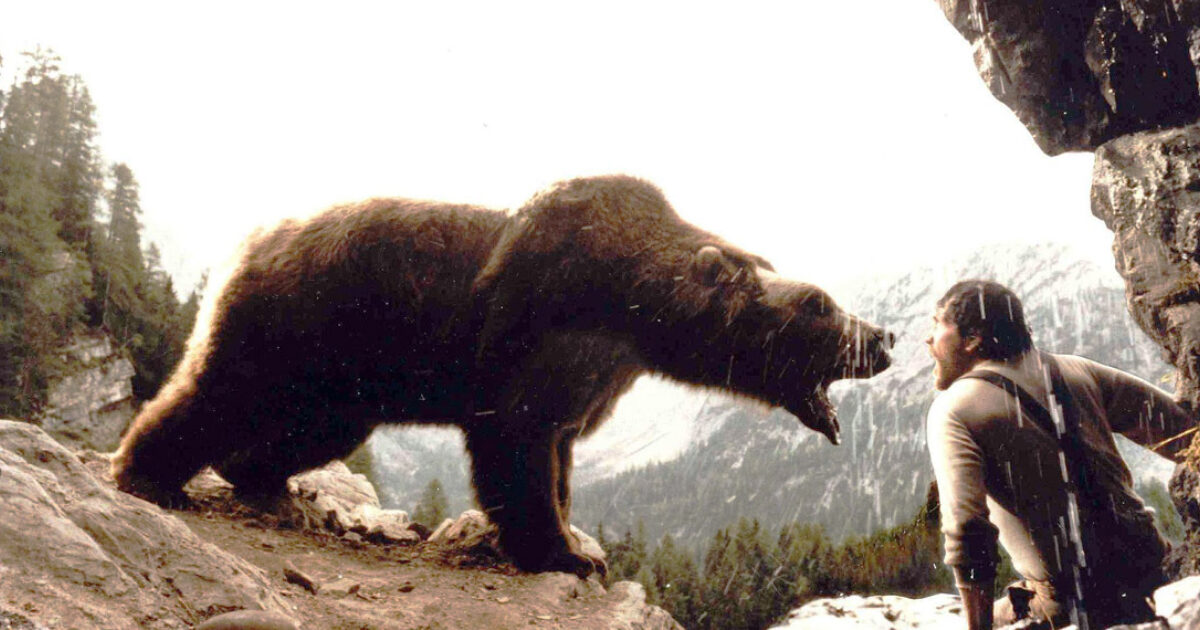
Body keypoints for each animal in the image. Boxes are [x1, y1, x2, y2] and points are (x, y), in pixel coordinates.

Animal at [111, 174, 894, 577]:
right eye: (819, 305)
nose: (883, 337)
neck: (634, 307)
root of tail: (256, 236)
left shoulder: (596, 374)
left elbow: (560, 449)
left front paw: (576, 538)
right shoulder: (536, 325)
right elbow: (518, 447)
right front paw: (559, 553)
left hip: (346, 378)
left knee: (310, 429)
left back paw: (267, 480)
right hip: (303, 318)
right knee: (221, 392)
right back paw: (148, 475)